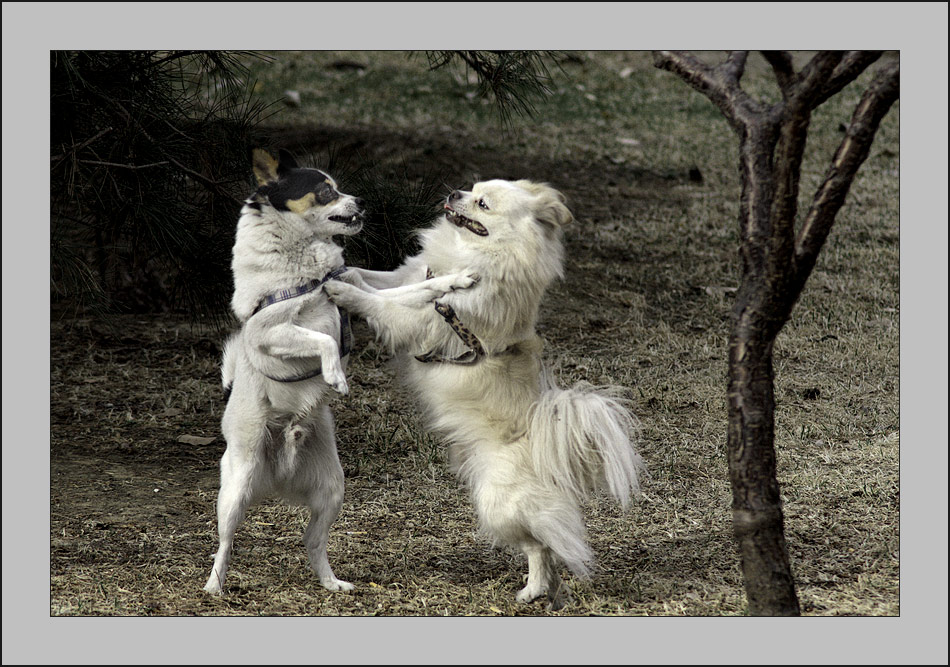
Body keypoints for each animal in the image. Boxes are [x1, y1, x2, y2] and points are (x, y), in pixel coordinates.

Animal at [328, 179, 648, 612]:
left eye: (482, 203)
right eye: (471, 188)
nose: (454, 194)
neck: (465, 254)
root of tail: (545, 443)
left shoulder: (419, 318)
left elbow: (378, 301)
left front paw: (340, 289)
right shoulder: (404, 279)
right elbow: (378, 280)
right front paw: (342, 268)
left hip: (497, 504)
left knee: (540, 546)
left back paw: (531, 590)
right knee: (544, 546)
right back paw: (543, 590)